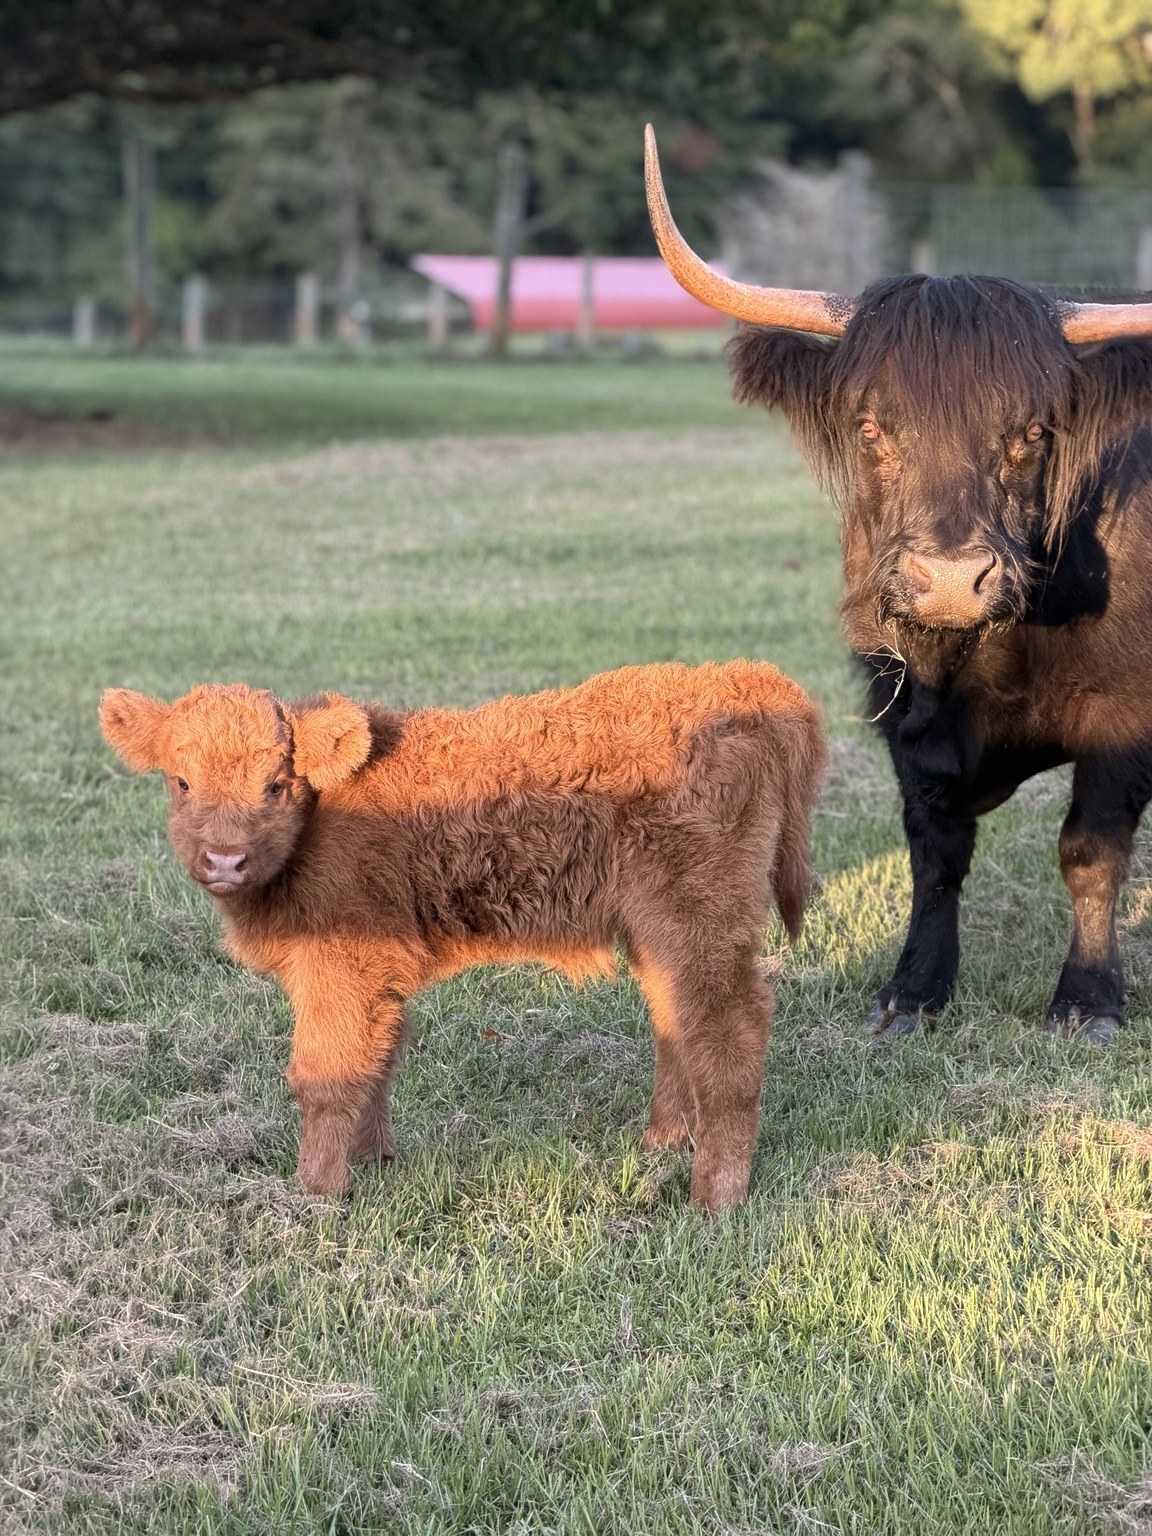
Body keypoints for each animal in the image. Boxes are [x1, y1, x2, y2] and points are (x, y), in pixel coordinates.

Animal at [99, 661, 825, 1210]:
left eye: (276, 784)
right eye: (181, 781)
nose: (224, 859)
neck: (321, 824)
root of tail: (739, 679)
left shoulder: (340, 972)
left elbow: (325, 1076)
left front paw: (317, 1191)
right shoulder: (380, 977)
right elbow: (377, 1064)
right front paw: (374, 1162)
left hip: (701, 923)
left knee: (731, 1029)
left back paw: (715, 1196)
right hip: (658, 934)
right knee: (676, 1020)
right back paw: (661, 1144)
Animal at [645, 123, 1152, 1045]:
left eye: (1032, 433)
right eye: (872, 427)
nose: (950, 580)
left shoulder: (1124, 714)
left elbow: (1090, 852)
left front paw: (1088, 1000)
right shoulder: (902, 705)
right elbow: (935, 849)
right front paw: (913, 990)